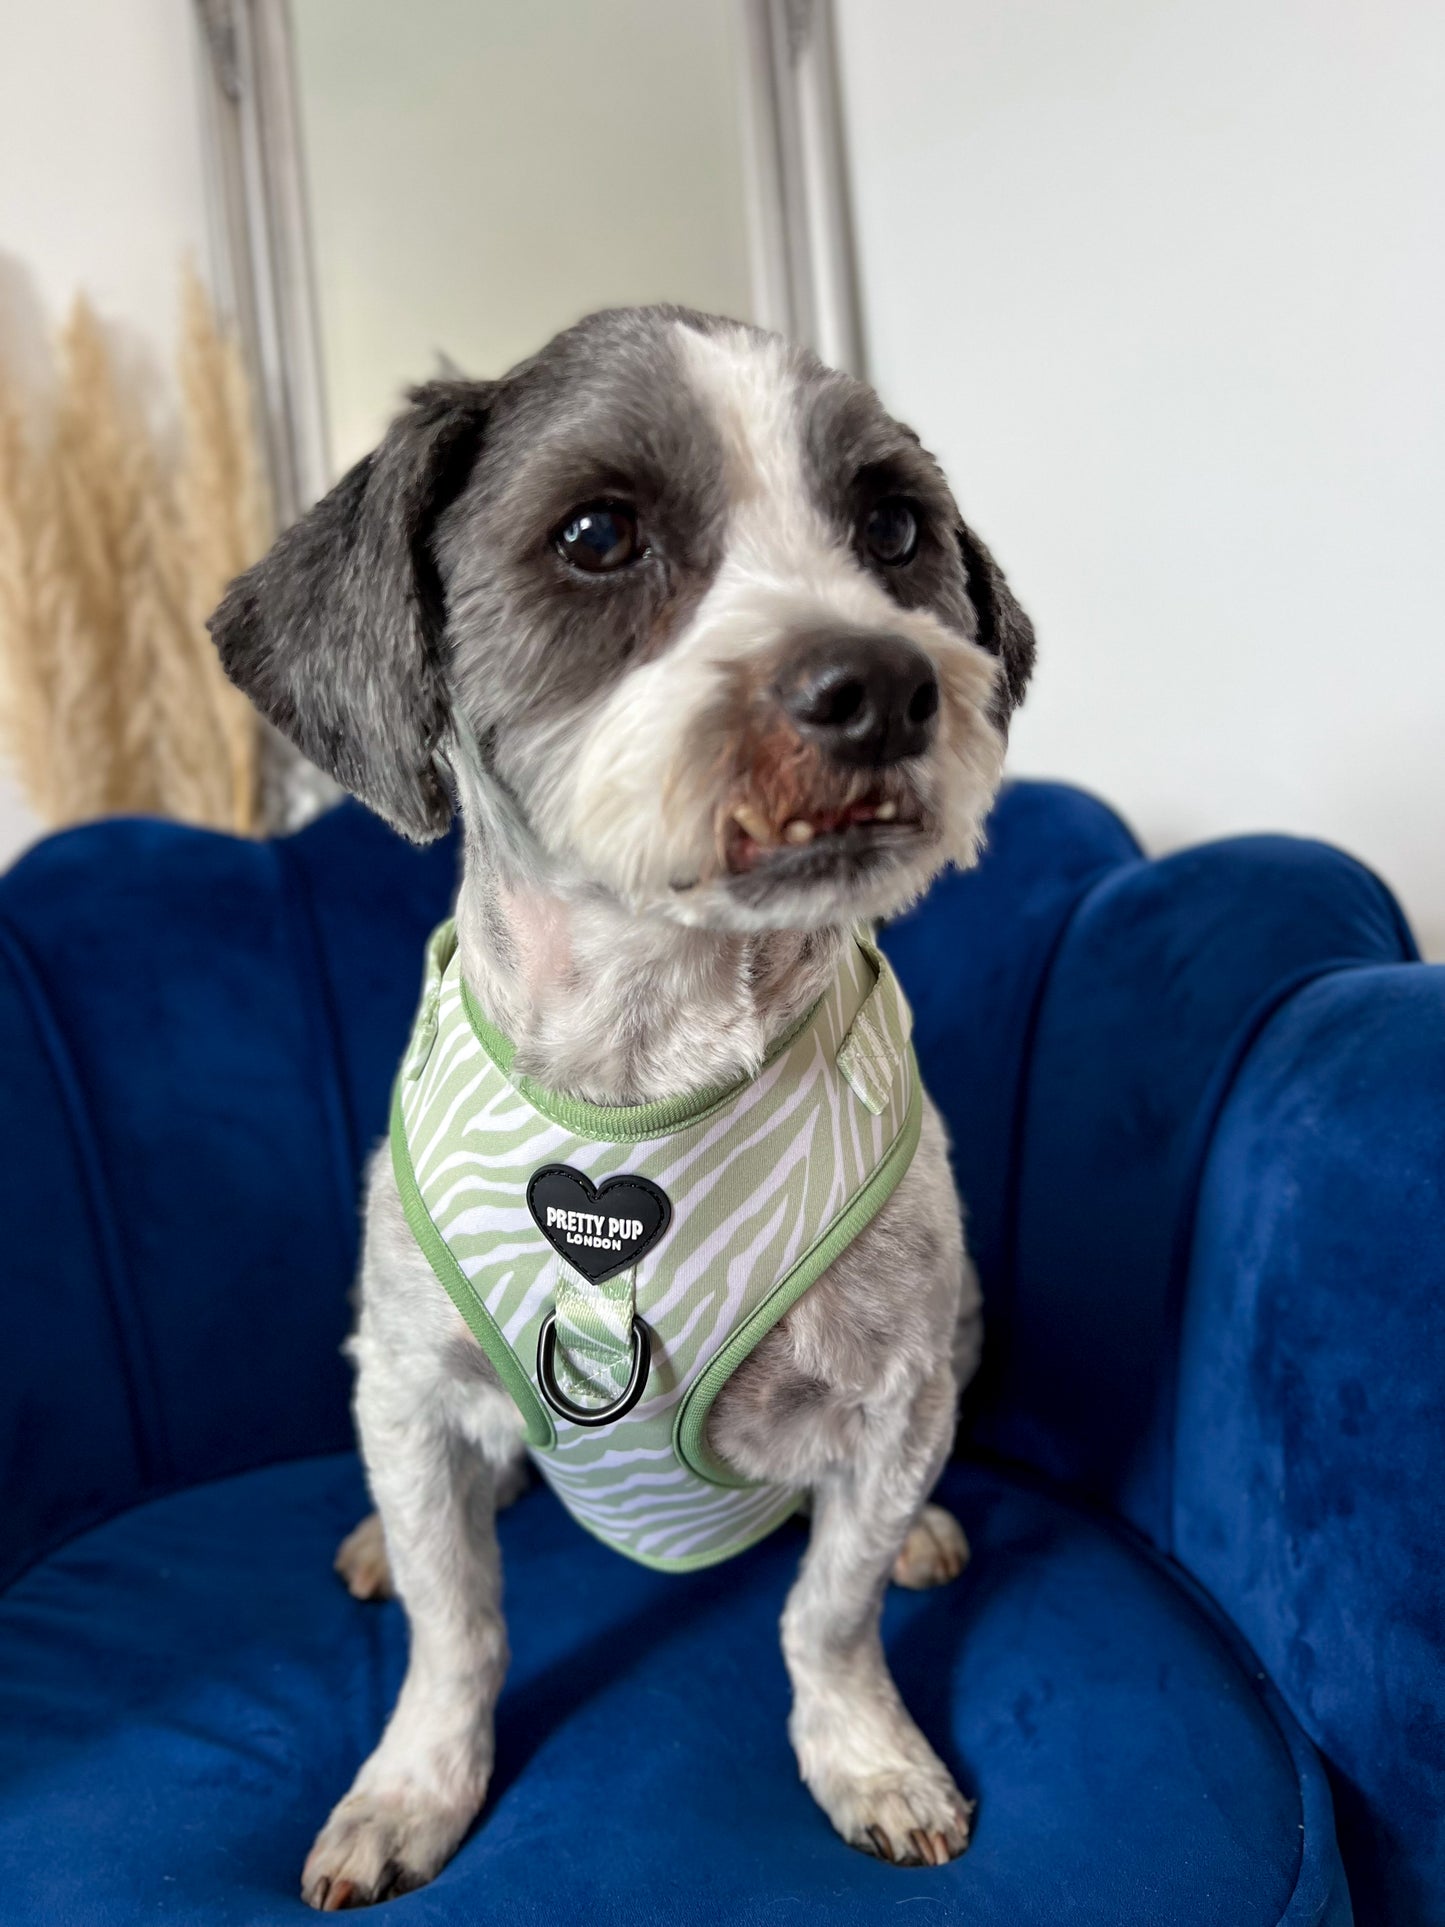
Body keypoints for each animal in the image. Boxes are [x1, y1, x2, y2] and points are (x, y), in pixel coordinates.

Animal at [209, 308, 1032, 1903]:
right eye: (596, 533)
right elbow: (455, 1627)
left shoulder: (897, 1392)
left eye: (892, 527)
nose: (882, 683)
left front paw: (865, 1749)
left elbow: (825, 1612)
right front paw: (412, 1783)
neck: (646, 1059)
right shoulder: (407, 1381)